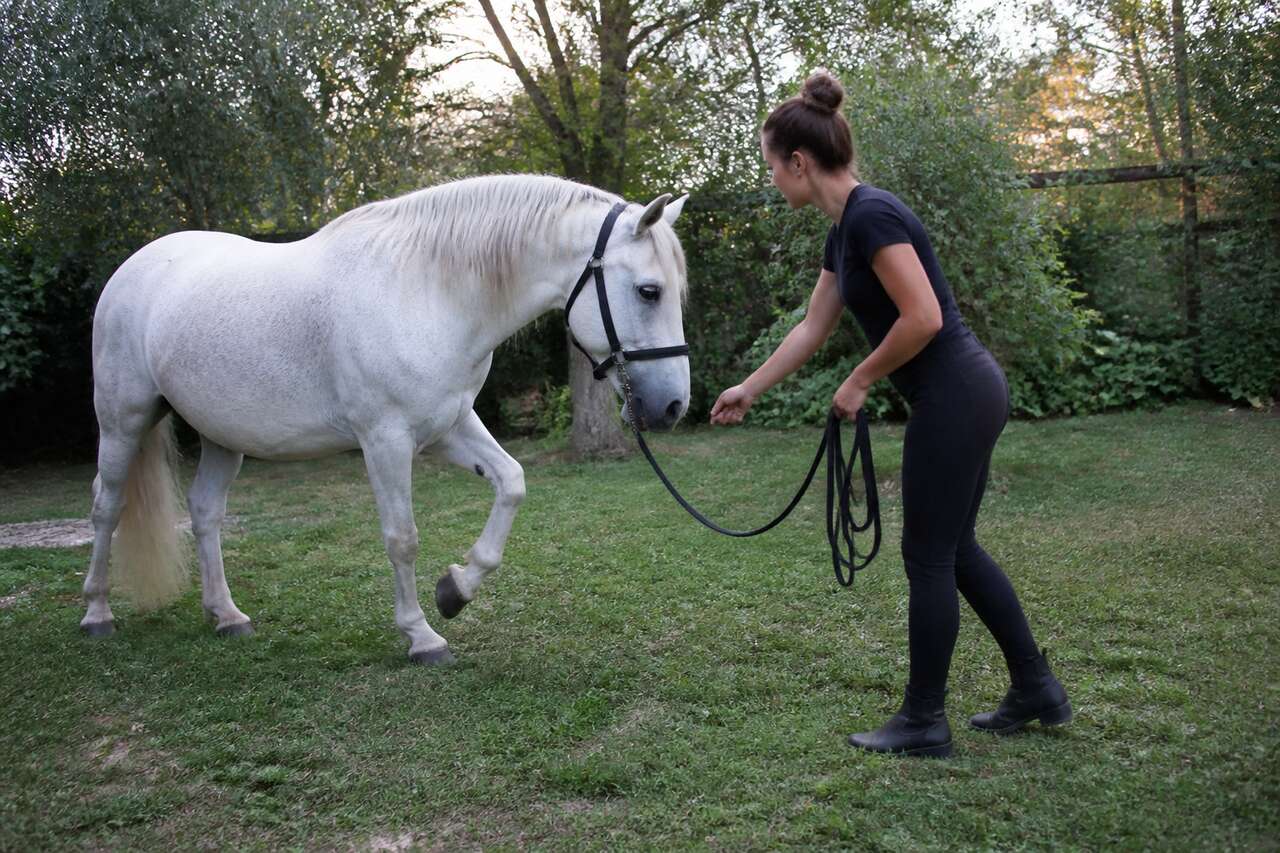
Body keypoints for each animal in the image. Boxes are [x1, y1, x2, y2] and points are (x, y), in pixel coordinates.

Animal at [81, 174, 691, 665]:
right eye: (648, 291)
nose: (673, 407)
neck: (427, 292)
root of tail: (136, 265)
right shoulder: (386, 441)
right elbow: (402, 538)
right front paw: (422, 636)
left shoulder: (448, 426)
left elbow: (512, 483)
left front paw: (455, 591)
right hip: (122, 422)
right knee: (107, 507)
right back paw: (96, 614)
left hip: (222, 435)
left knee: (205, 512)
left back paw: (226, 616)